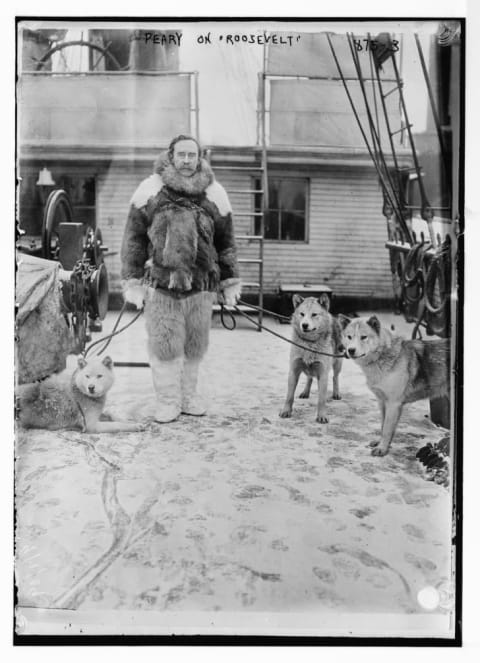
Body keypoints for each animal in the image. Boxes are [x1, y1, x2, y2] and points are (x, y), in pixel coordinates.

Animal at [16, 356, 144, 434]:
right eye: (87, 376)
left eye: (99, 376)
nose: (91, 387)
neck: (79, 392)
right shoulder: (92, 425)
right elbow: (117, 425)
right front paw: (134, 426)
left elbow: (112, 414)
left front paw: (129, 421)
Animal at [280, 296, 344, 426]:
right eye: (302, 314)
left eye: (314, 314)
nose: (304, 325)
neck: (309, 343)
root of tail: (333, 317)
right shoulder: (293, 371)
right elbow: (289, 396)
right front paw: (286, 411)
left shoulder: (323, 374)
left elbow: (321, 400)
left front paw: (321, 416)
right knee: (309, 378)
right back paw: (306, 392)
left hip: (337, 363)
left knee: (335, 377)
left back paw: (336, 393)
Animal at [340, 316, 448, 456]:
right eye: (349, 337)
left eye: (363, 337)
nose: (351, 350)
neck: (382, 356)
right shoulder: (382, 402)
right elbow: (383, 426)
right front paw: (381, 444)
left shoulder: (393, 404)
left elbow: (386, 429)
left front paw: (382, 449)